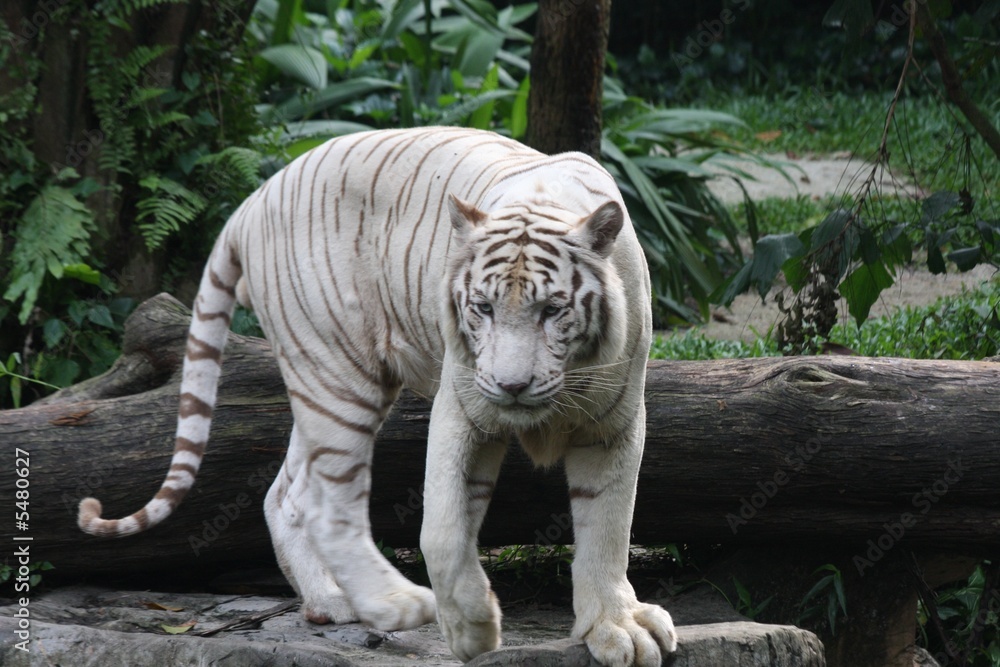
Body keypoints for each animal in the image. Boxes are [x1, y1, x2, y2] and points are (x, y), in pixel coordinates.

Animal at [78, 127, 677, 666]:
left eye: (552, 310)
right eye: (482, 307)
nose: (511, 386)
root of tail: (255, 198)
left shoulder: (612, 423)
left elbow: (607, 527)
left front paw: (614, 627)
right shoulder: (463, 405)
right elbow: (443, 531)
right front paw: (472, 631)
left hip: (321, 381)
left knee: (287, 493)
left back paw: (329, 599)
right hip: (340, 375)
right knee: (327, 503)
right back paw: (394, 605)